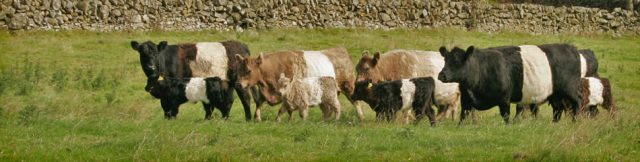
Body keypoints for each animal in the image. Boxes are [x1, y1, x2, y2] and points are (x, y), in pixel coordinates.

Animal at [130, 39, 260, 119]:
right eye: (142, 53)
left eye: (156, 53)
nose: (150, 66)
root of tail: (241, 45)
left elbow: (170, 105)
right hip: (227, 83)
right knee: (229, 100)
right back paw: (224, 118)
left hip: (238, 81)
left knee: (245, 99)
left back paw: (248, 119)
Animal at [236, 46, 364, 121]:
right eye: (239, 69)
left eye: (248, 70)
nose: (238, 84)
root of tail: (340, 49)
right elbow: (259, 103)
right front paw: (257, 118)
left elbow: (289, 109)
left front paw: (291, 120)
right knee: (328, 108)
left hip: (348, 86)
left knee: (355, 102)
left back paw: (360, 117)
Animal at [440, 43, 584, 123]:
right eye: (445, 60)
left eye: (457, 61)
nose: (441, 75)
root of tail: (571, 47)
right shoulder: (466, 100)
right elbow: (462, 116)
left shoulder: (504, 99)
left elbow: (506, 116)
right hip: (555, 94)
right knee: (557, 109)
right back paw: (554, 124)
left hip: (570, 89)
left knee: (577, 102)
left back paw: (575, 121)